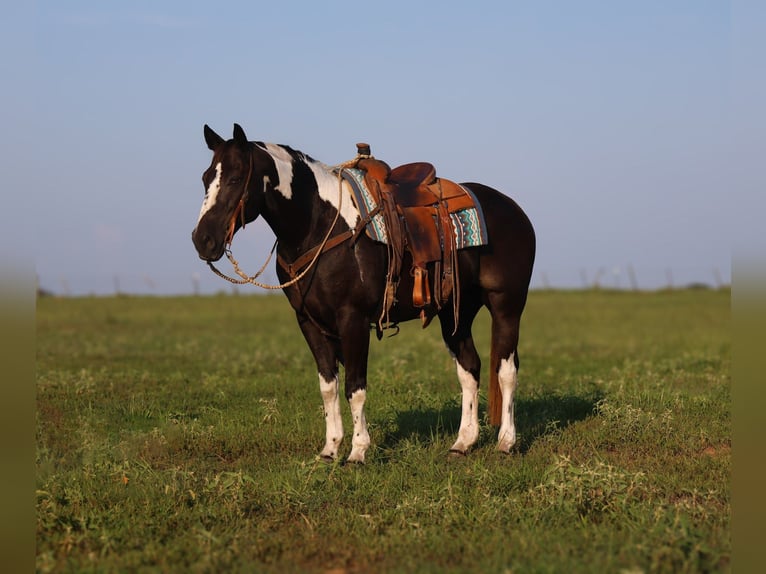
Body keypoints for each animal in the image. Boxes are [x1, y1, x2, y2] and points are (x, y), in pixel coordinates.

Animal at [192, 124, 535, 463]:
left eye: (236, 178)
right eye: (206, 178)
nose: (202, 240)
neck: (318, 224)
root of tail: (514, 209)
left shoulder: (352, 319)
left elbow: (354, 388)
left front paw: (358, 451)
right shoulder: (309, 322)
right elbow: (328, 387)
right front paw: (330, 449)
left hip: (507, 306)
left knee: (507, 371)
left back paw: (506, 442)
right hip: (457, 313)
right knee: (469, 368)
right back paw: (463, 442)